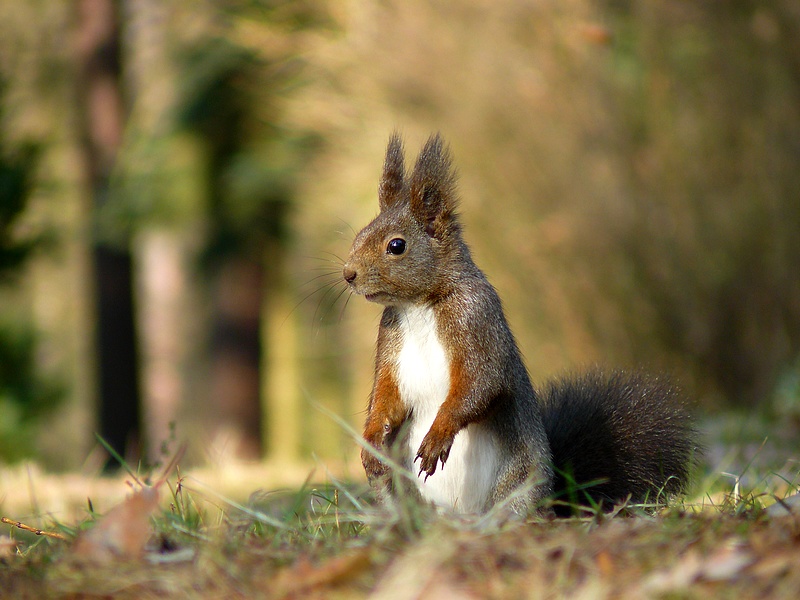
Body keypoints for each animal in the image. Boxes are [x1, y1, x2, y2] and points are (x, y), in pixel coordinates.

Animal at [342, 133, 697, 516]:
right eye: (359, 235)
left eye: (397, 245)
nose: (348, 274)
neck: (418, 305)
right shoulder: (391, 343)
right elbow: (385, 396)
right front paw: (370, 442)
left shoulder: (476, 320)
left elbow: (480, 382)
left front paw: (438, 435)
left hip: (519, 484)